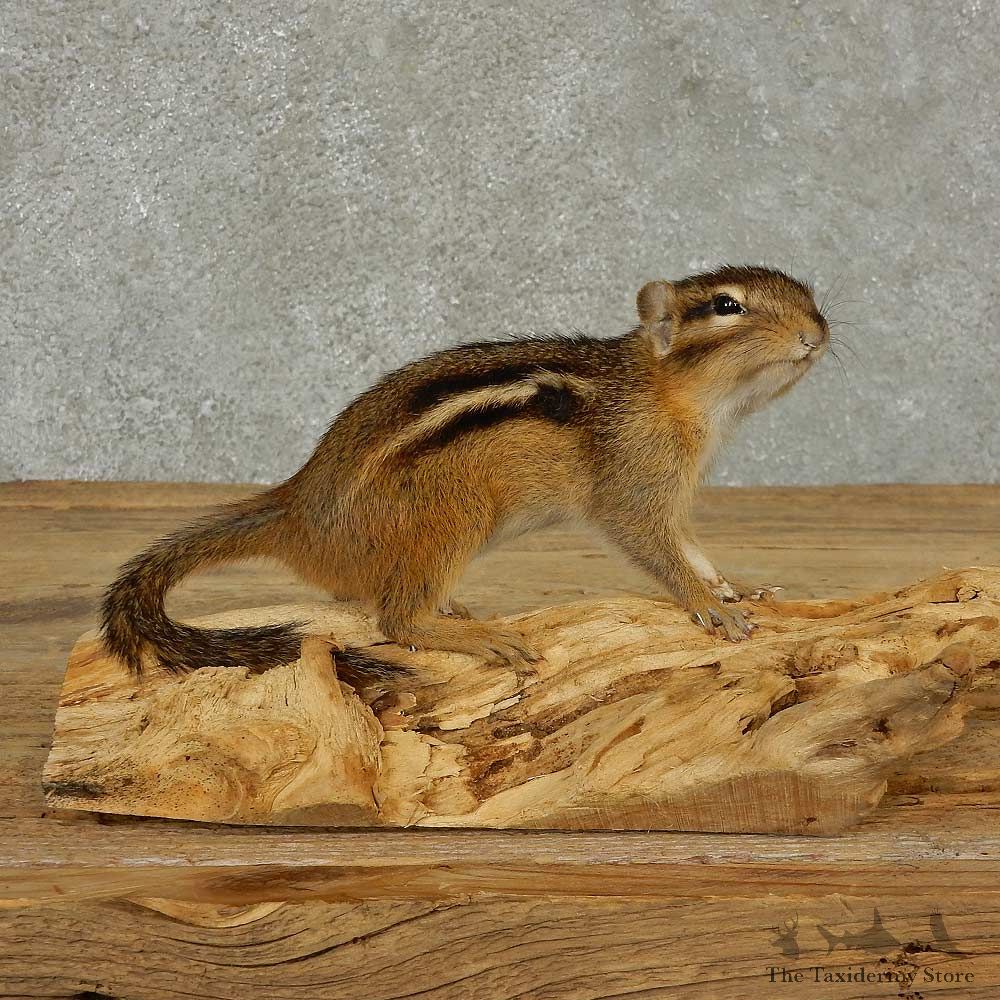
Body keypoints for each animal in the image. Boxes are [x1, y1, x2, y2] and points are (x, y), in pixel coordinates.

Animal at [101, 265, 829, 677]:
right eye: (727, 306)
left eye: (809, 294)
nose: (816, 334)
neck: (667, 391)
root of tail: (299, 508)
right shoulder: (632, 485)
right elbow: (654, 549)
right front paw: (707, 606)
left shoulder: (673, 494)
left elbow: (691, 545)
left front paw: (736, 589)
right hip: (451, 518)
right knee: (394, 622)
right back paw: (476, 637)